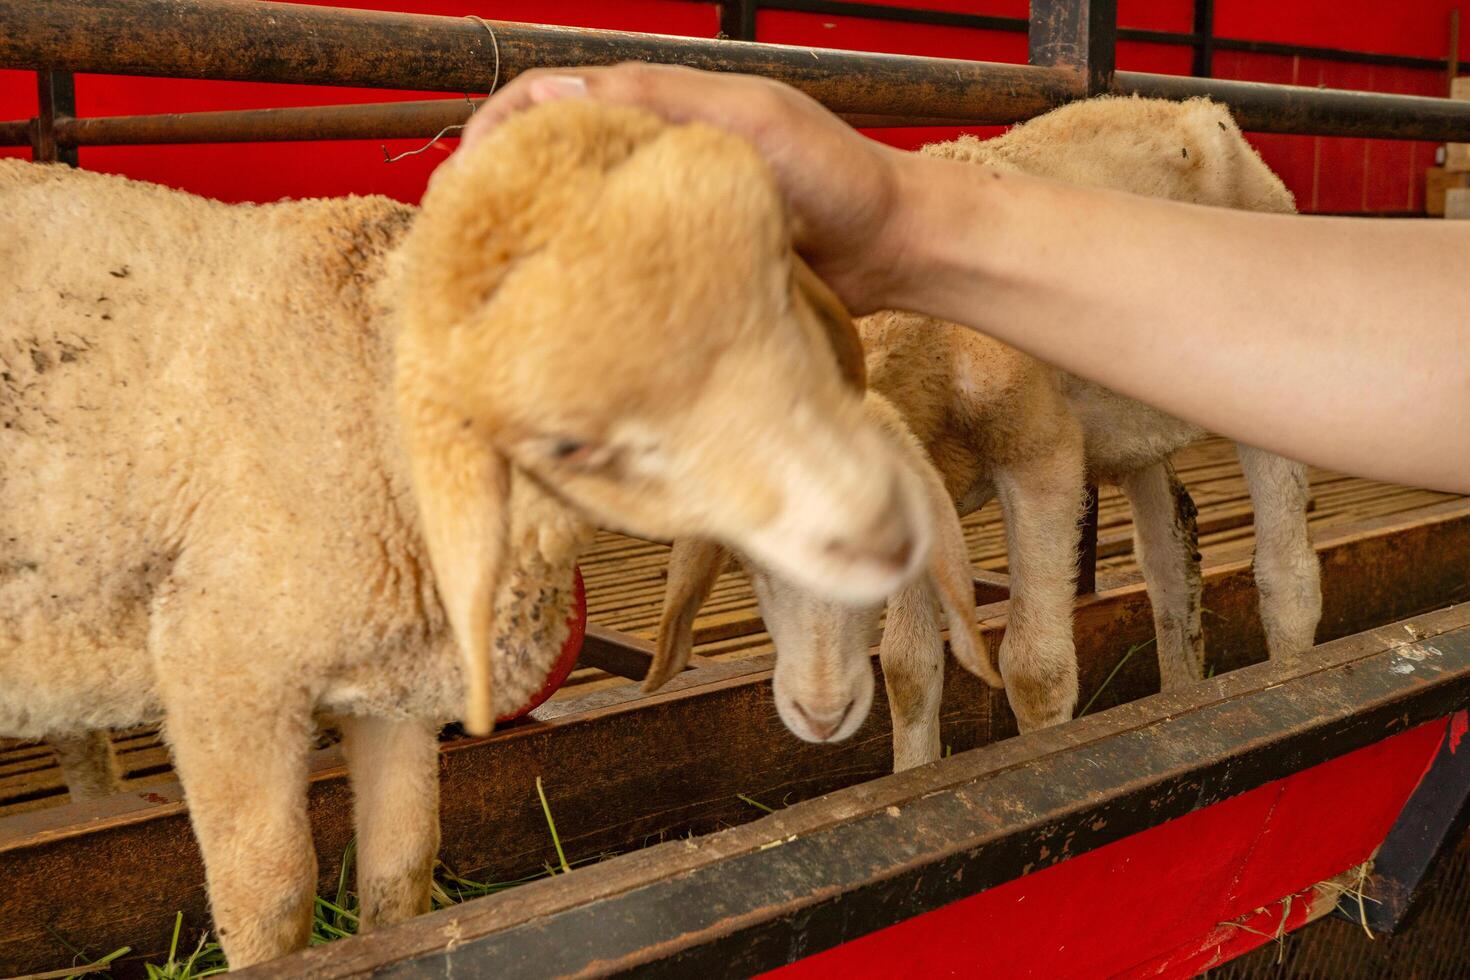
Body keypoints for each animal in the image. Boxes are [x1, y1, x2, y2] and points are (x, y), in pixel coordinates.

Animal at [649, 97, 1328, 775]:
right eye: (743, 560)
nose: (819, 713)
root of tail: (1199, 111)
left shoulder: (1042, 455)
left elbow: (1035, 669)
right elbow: (908, 669)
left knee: (1287, 574)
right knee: (1169, 561)